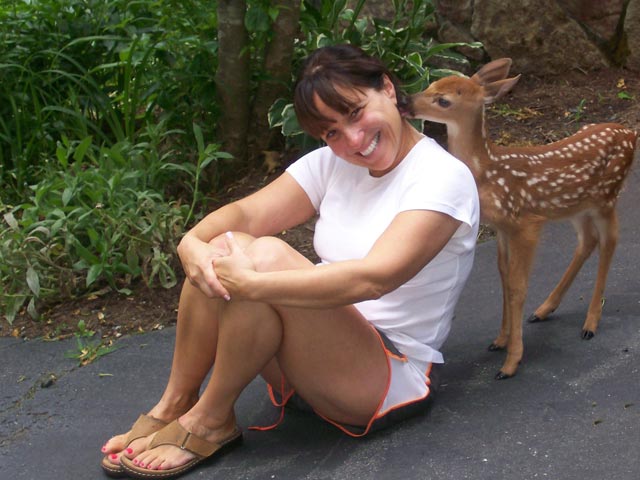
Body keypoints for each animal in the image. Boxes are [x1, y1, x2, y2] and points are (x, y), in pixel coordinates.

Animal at [407, 58, 637, 379]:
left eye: (444, 100)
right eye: (430, 84)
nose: (405, 100)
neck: (488, 171)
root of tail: (631, 134)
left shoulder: (526, 223)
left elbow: (518, 285)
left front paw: (511, 361)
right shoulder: (503, 227)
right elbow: (504, 277)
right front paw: (500, 340)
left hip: (606, 197)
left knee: (610, 241)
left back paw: (590, 323)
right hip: (577, 206)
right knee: (588, 241)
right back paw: (544, 309)